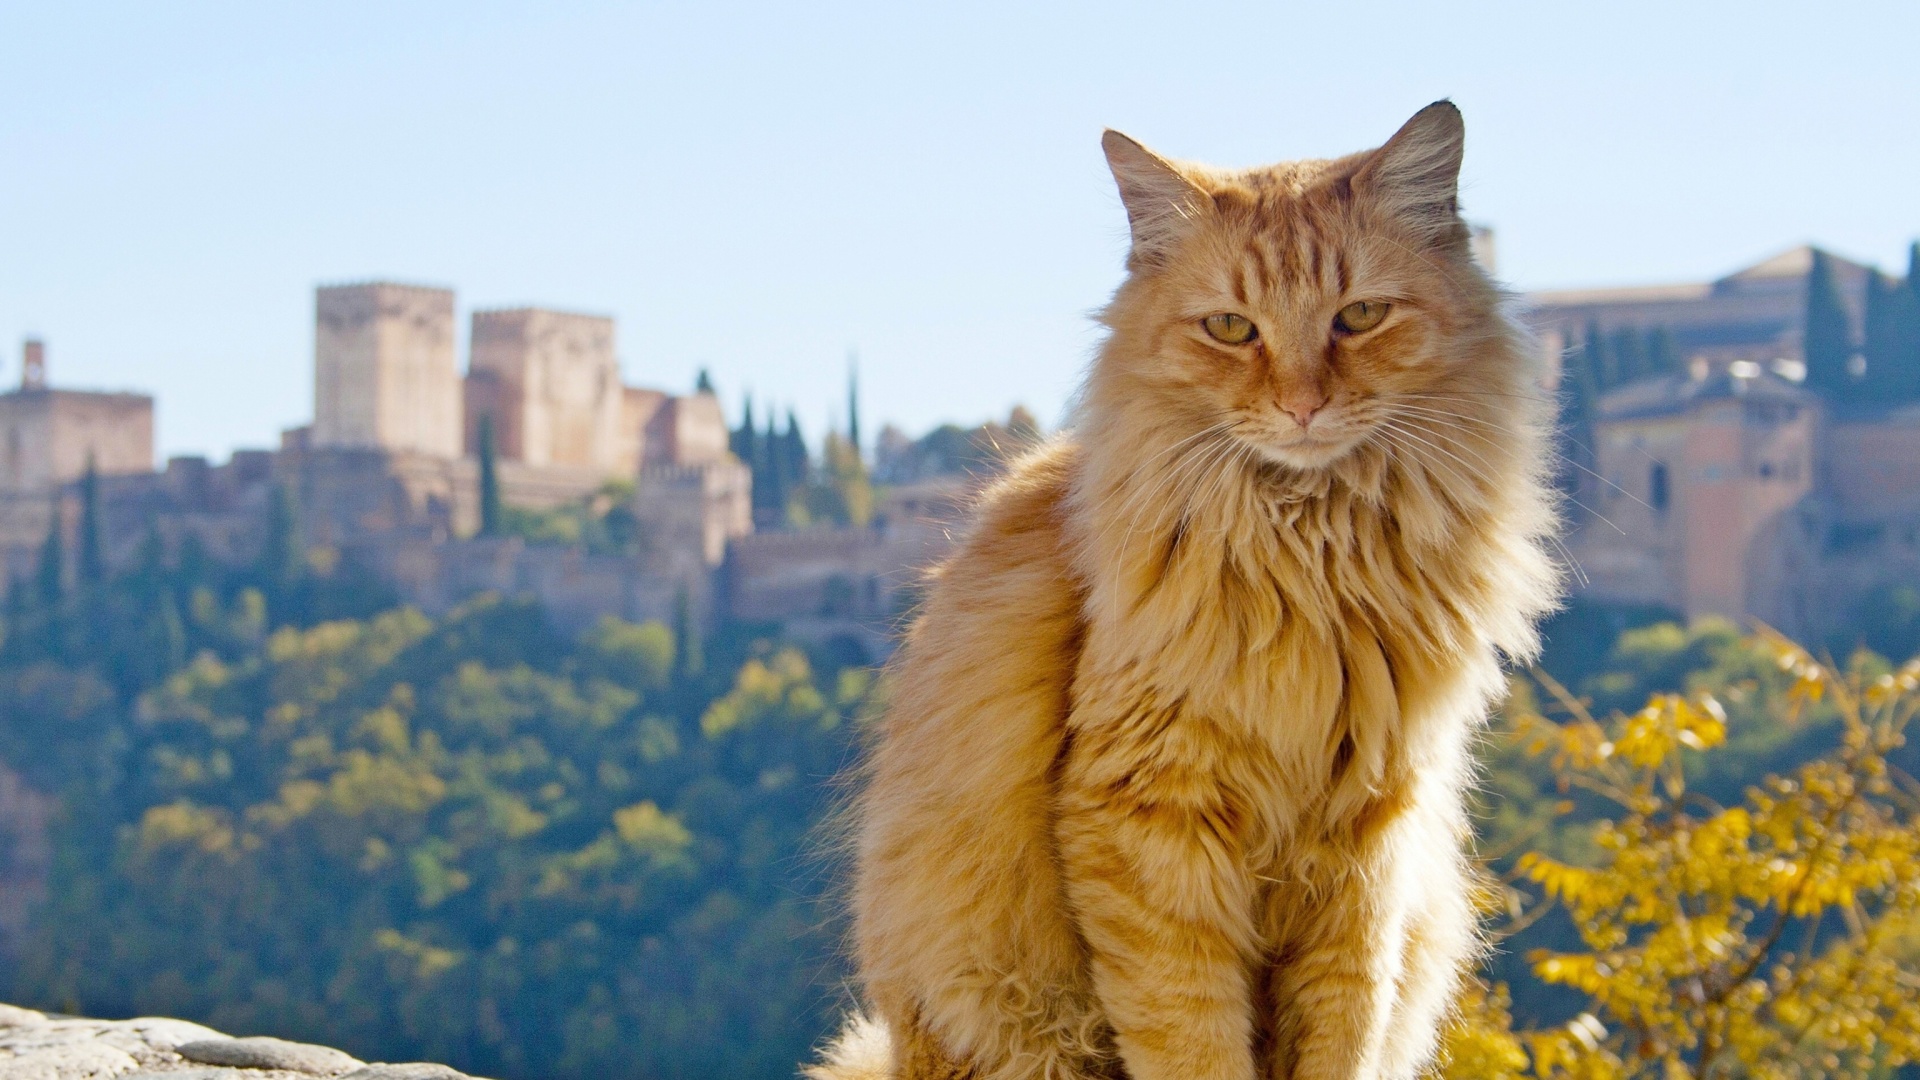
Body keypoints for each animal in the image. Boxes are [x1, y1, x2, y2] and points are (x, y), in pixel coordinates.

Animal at [810, 105, 1559, 1076]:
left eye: (1359, 316)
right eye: (1232, 328)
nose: (1303, 406)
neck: (1312, 556)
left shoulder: (1366, 847)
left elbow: (1343, 1036)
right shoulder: (1148, 823)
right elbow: (1192, 1040)